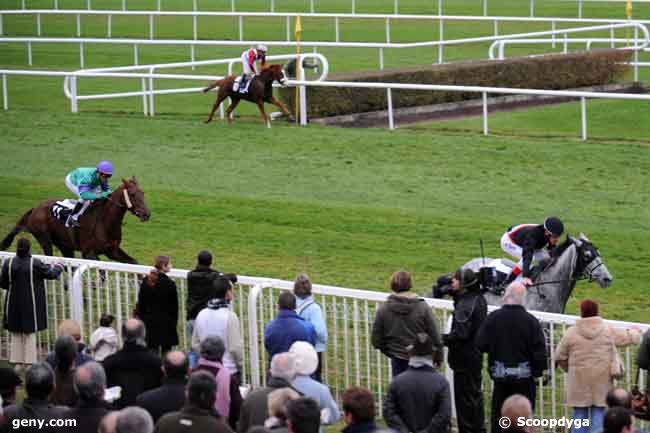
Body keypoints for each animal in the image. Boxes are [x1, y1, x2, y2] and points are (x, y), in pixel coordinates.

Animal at [0, 176, 149, 264]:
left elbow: (134, 263)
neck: (105, 223)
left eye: (142, 193)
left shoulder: (112, 250)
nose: (147, 214)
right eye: (132, 194)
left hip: (65, 245)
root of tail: (35, 208)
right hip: (44, 239)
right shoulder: (88, 253)